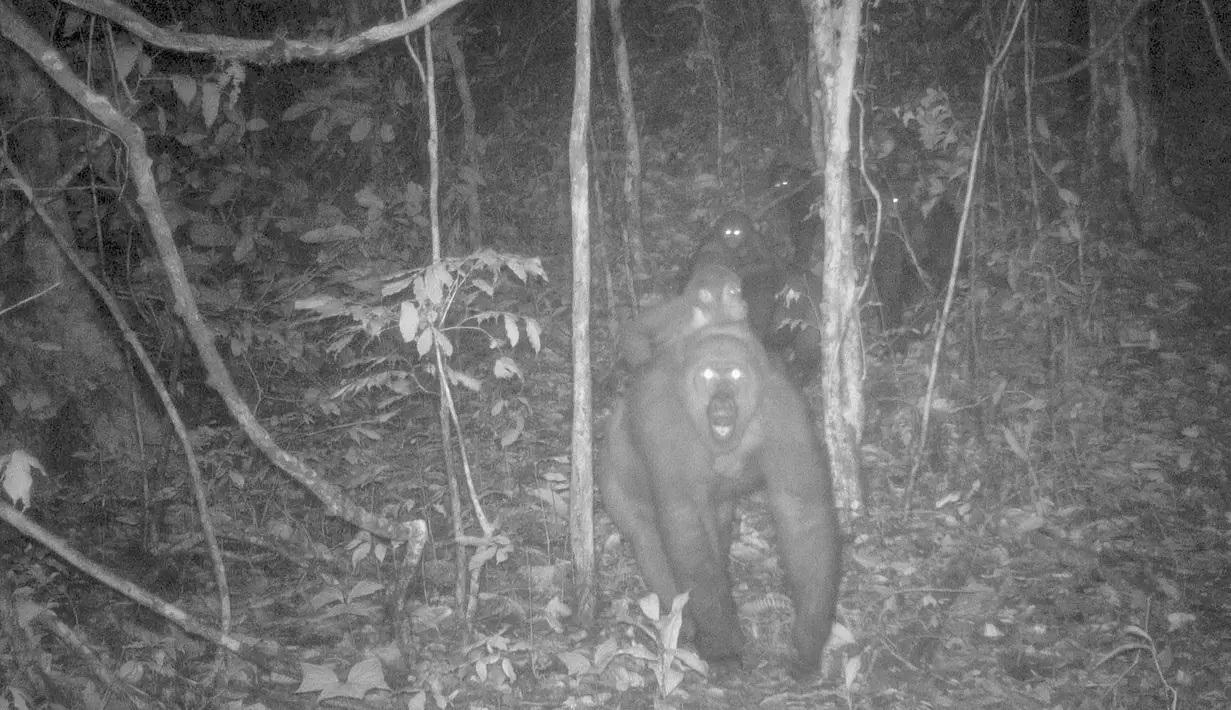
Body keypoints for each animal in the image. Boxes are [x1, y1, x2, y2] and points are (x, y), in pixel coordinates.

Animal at [598, 319, 846, 674]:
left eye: (737, 375)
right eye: (707, 376)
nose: (722, 403)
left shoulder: (785, 409)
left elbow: (802, 515)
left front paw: (810, 635)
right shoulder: (661, 417)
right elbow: (683, 522)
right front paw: (721, 638)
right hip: (612, 475)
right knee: (647, 536)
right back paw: (685, 625)